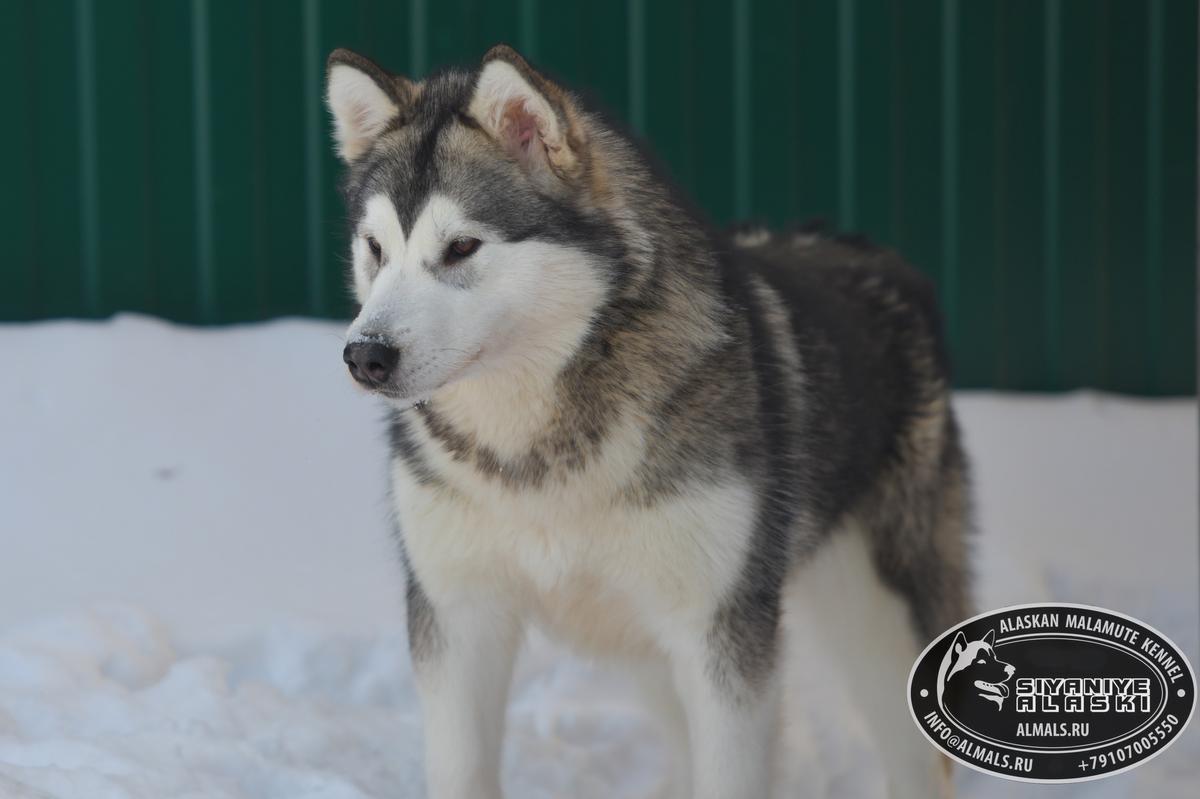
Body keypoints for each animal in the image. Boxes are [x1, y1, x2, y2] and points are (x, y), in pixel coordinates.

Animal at [324, 44, 969, 796]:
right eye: (375, 248)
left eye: (461, 247)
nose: (364, 355)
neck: (535, 447)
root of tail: (866, 249)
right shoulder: (458, 620)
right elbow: (461, 769)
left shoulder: (720, 633)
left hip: (882, 618)